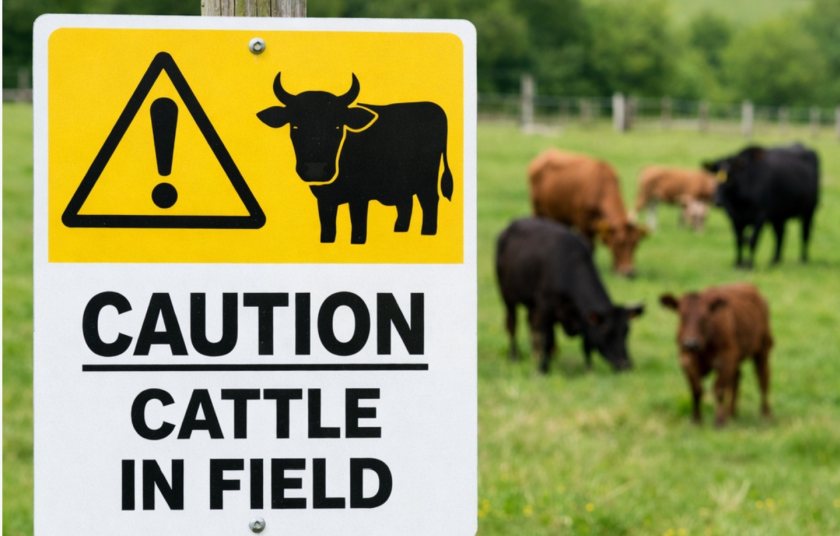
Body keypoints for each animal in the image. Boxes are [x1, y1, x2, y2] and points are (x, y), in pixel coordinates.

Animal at [257, 73, 453, 244]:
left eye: (337, 126)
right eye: (295, 126)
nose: (316, 170)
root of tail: (435, 109)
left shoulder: (359, 198)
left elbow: (358, 230)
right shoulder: (325, 200)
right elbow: (328, 230)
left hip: (427, 181)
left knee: (429, 202)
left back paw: (427, 232)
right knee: (406, 204)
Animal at [495, 217, 644, 374]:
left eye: (626, 331)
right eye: (606, 331)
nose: (626, 365)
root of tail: (512, 224)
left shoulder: (582, 318)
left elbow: (586, 345)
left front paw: (589, 369)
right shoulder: (546, 308)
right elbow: (547, 338)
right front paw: (543, 369)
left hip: (532, 304)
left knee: (531, 324)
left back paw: (535, 354)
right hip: (507, 296)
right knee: (512, 324)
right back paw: (514, 355)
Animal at [528, 149, 647, 278]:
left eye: (635, 244)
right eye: (617, 243)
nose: (629, 272)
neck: (600, 187)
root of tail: (546, 152)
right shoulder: (583, 224)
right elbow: (589, 246)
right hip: (537, 209)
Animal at [660, 283, 773, 427]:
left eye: (705, 317)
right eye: (682, 316)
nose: (691, 344)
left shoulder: (726, 359)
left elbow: (719, 389)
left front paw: (719, 420)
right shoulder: (686, 360)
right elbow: (696, 390)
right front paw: (696, 419)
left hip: (763, 349)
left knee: (763, 380)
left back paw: (766, 414)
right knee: (737, 378)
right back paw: (731, 413)